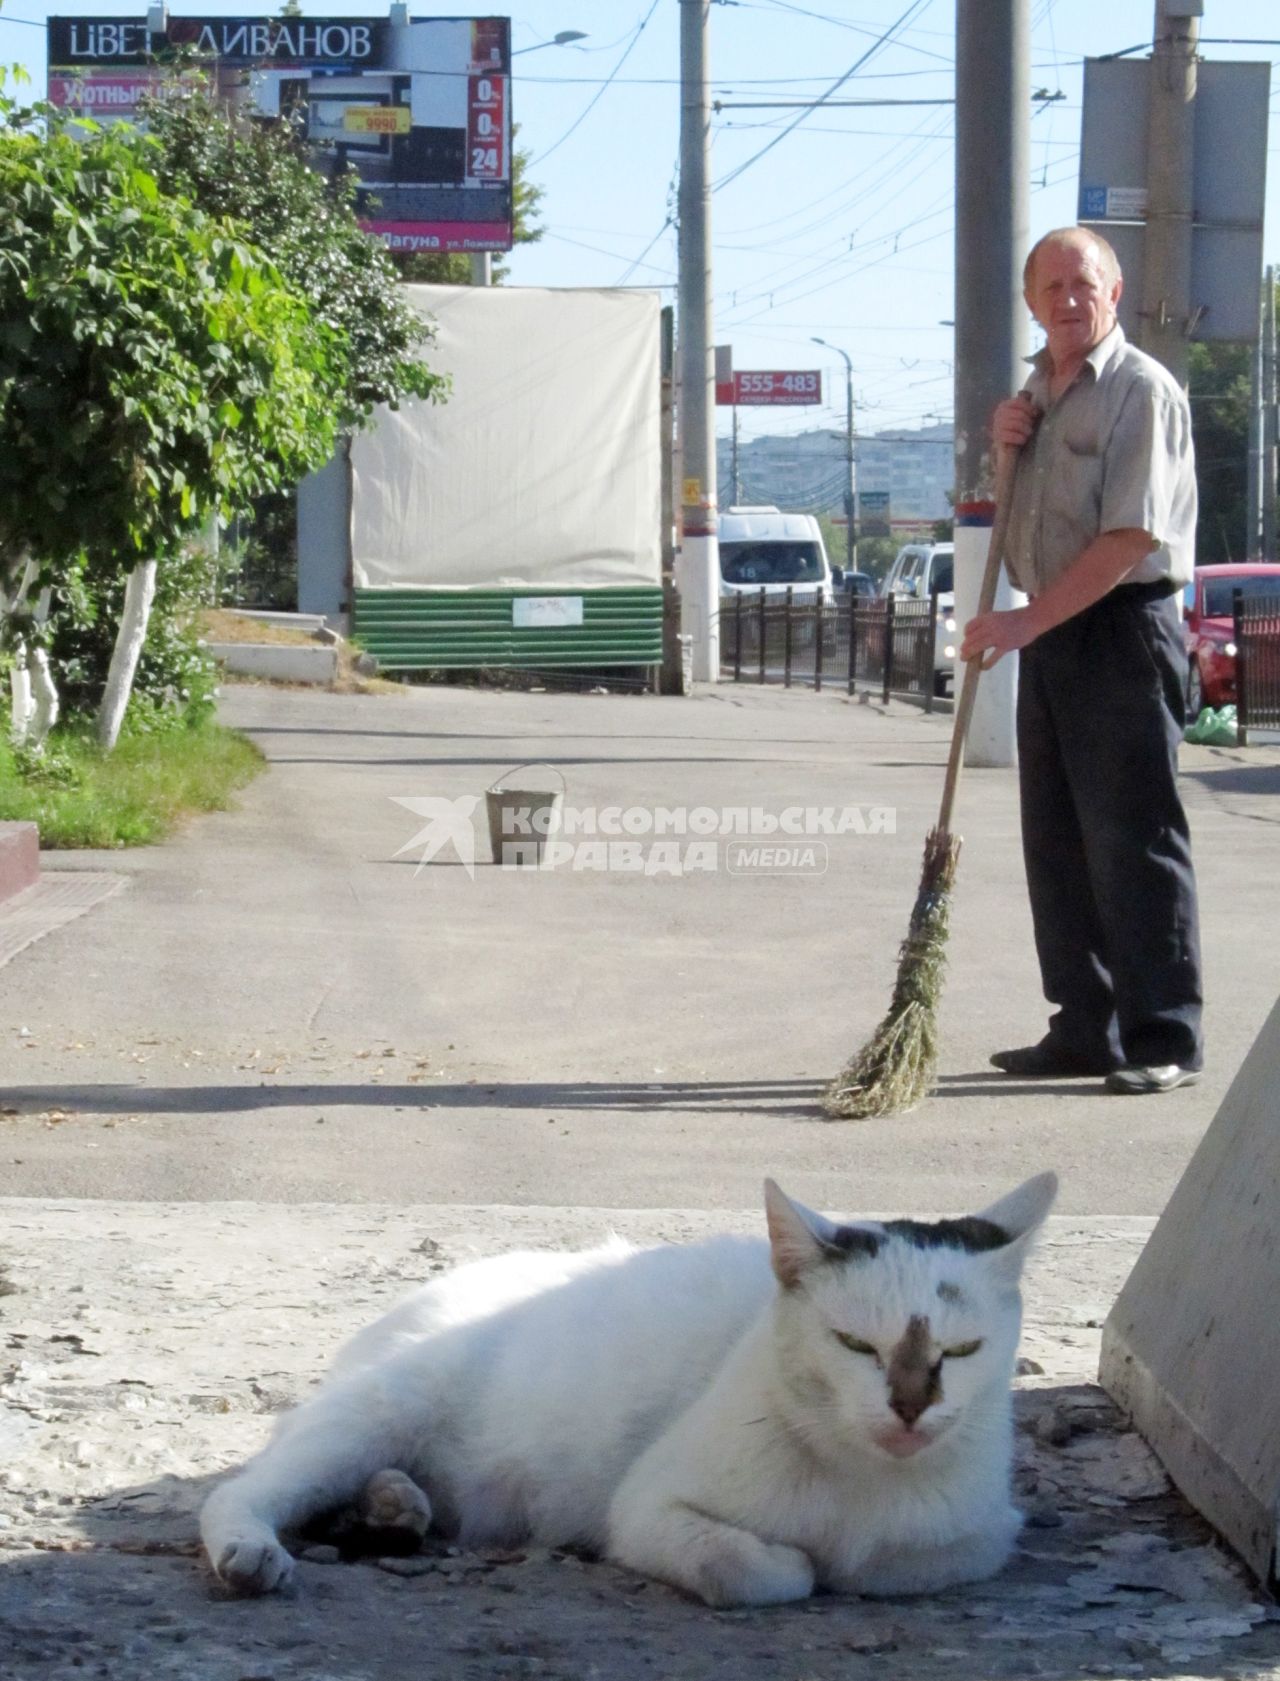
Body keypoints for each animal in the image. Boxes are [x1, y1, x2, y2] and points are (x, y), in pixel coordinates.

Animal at [201, 1176, 1056, 1607]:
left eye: (962, 1350)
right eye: (855, 1344)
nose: (910, 1406)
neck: (860, 1480)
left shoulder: (980, 1536)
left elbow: (891, 1563)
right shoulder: (644, 1509)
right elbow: (761, 1571)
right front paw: (796, 1561)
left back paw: (393, 1504)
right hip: (382, 1403)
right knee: (239, 1489)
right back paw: (257, 1548)